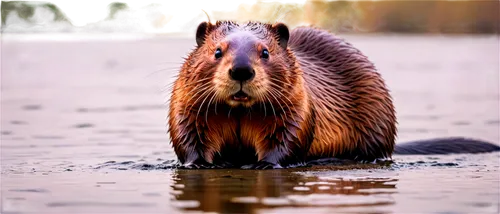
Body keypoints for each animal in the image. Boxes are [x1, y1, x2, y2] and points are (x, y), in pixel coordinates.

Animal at [169, 19, 500, 169]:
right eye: (217, 50)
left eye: (265, 52)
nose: (240, 70)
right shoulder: (186, 102)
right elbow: (188, 135)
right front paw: (199, 162)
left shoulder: (300, 103)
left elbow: (289, 137)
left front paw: (263, 163)